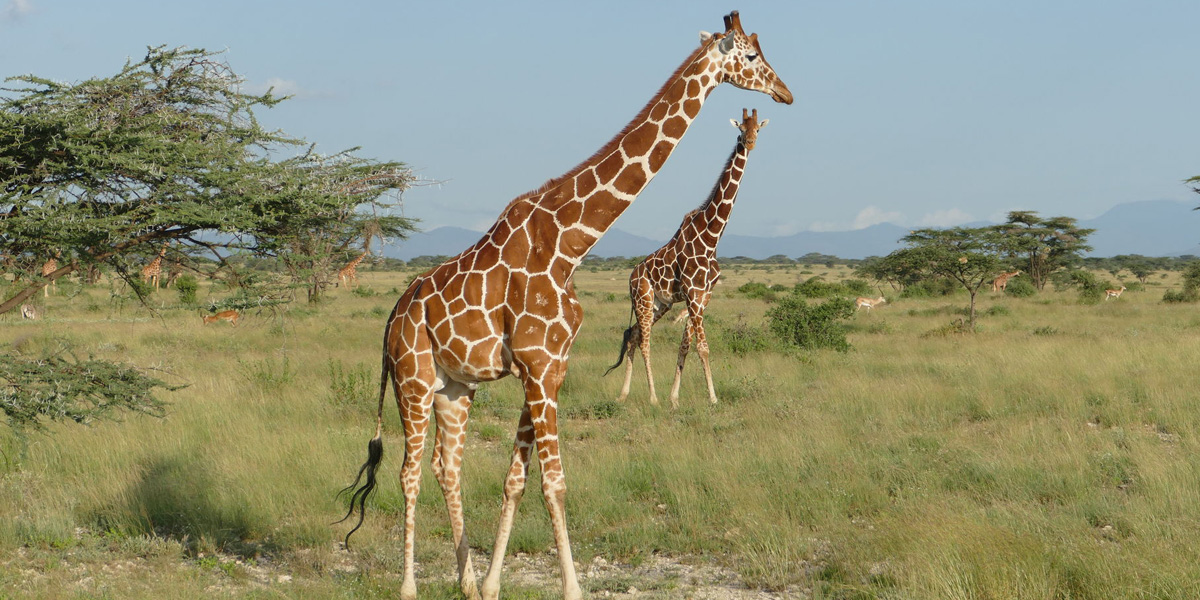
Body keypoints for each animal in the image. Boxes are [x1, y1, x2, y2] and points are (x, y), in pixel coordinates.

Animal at [609, 108, 768, 408]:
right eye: (741, 129)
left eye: (758, 129)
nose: (751, 143)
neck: (712, 236)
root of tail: (630, 277)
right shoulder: (693, 293)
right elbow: (702, 347)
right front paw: (713, 398)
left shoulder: (704, 295)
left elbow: (685, 345)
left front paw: (675, 398)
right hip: (643, 298)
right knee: (644, 340)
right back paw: (652, 397)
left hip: (660, 304)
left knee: (632, 334)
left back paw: (624, 394)